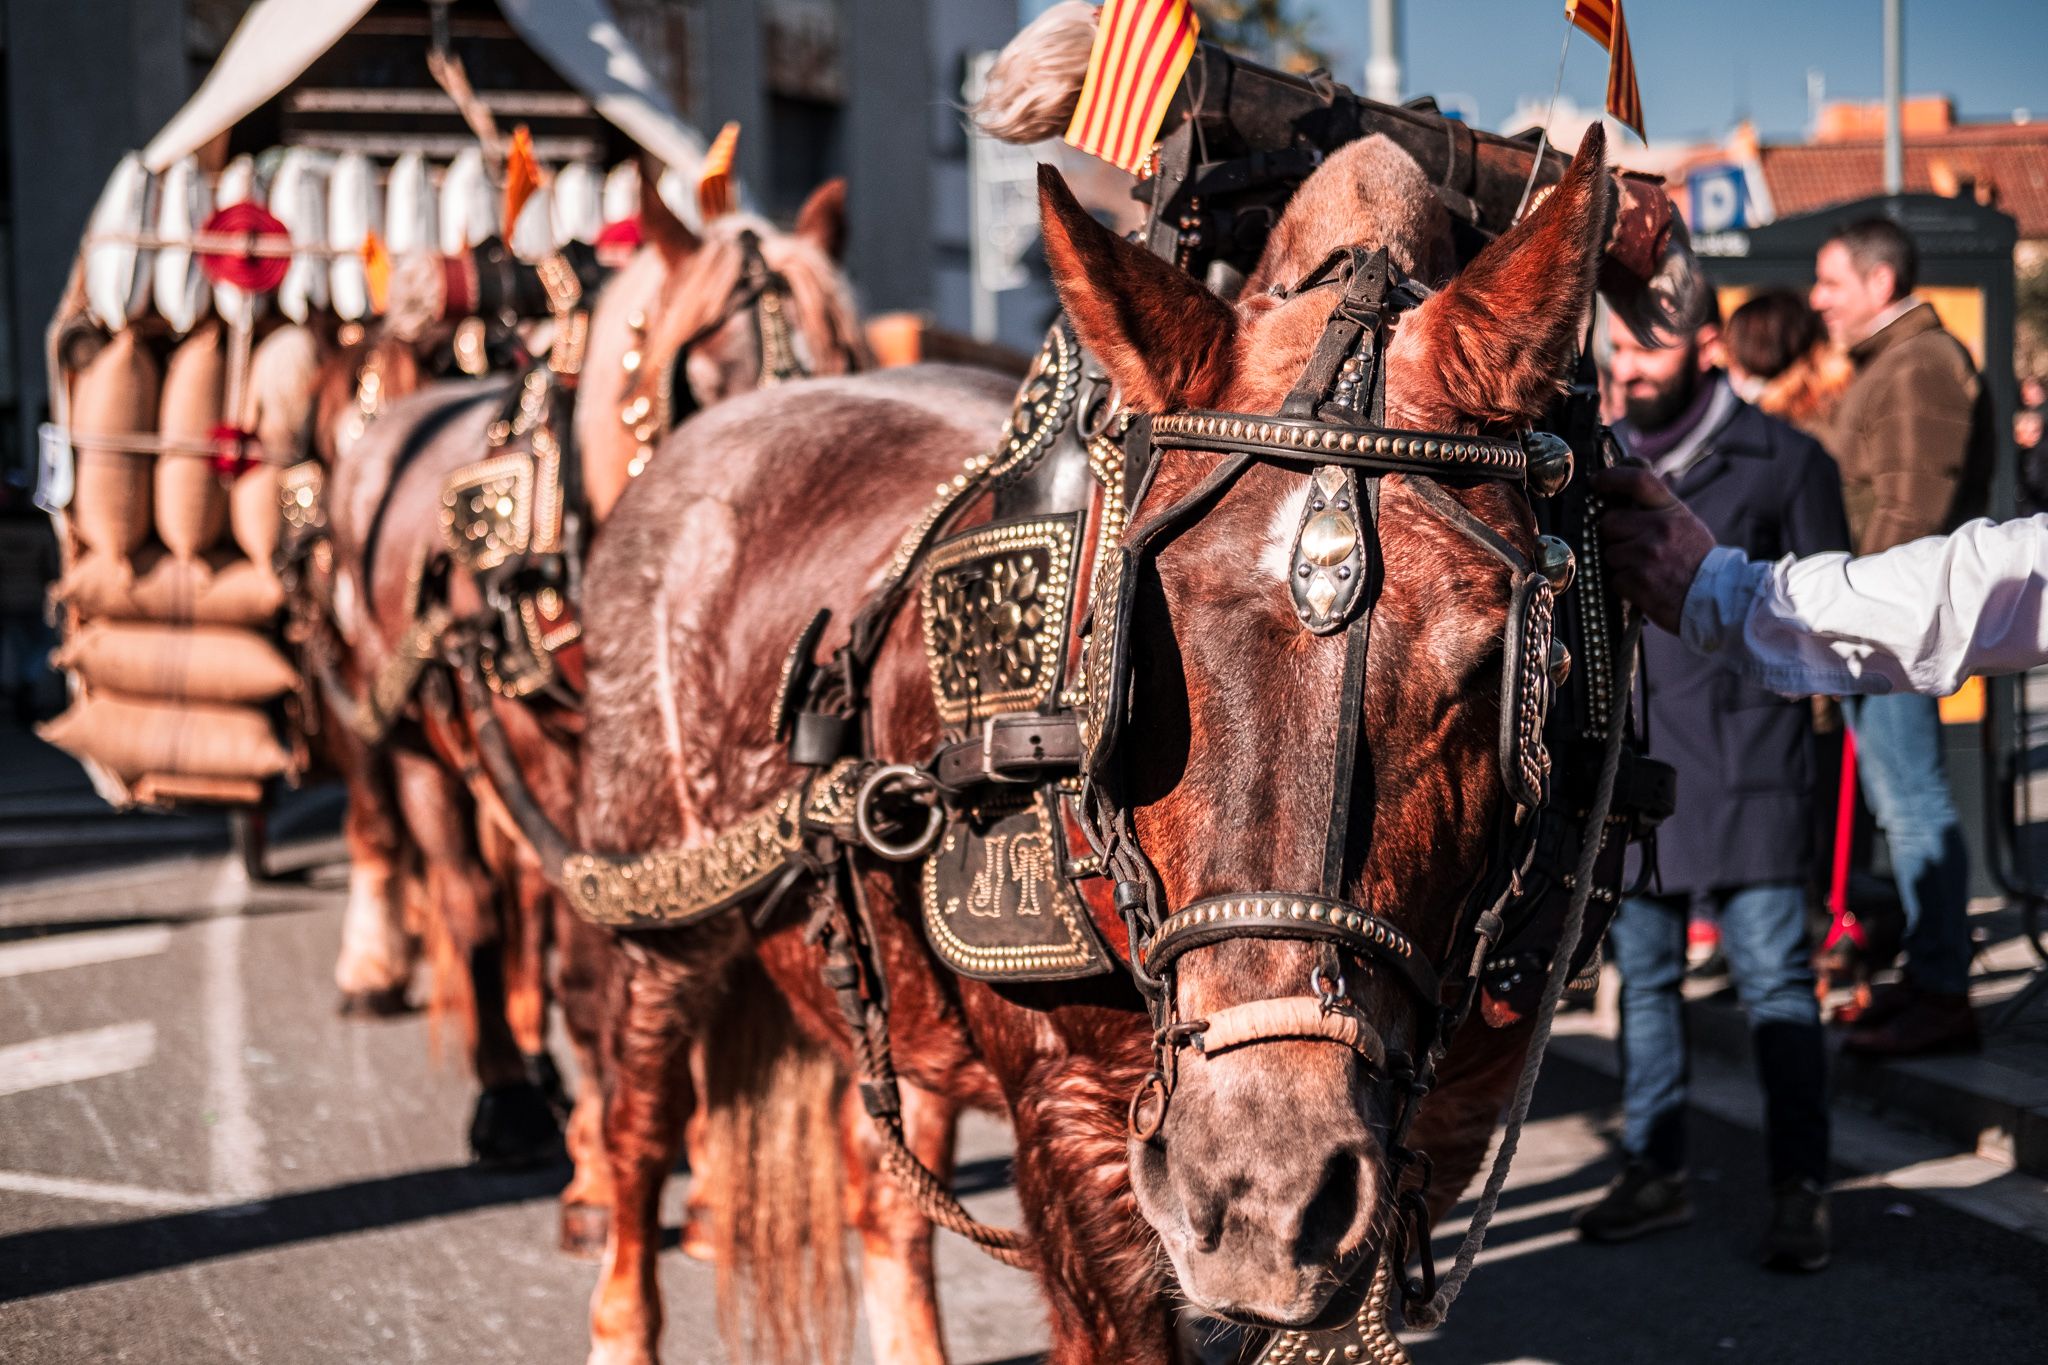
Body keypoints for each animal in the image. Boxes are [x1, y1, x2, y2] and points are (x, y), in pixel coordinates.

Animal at [581, 122, 1630, 1358]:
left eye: (1489, 661)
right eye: (1141, 663)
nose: (1260, 1188)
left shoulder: (1430, 1146)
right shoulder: (1076, 1128)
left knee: (883, 1189)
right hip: (657, 920)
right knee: (637, 1130)